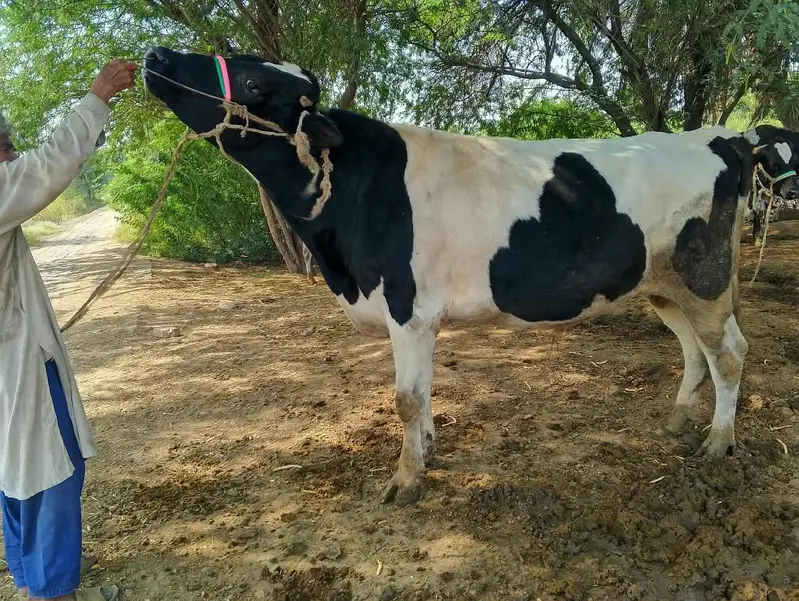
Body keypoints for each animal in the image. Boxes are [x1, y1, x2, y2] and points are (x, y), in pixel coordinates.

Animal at [142, 46, 799, 507]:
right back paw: (678, 421)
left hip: (705, 277)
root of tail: (721, 138)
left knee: (729, 352)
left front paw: (406, 480)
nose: (157, 56)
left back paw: (718, 442)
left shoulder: (407, 307)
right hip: (662, 283)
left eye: (255, 84)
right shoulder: (419, 316)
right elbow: (424, 392)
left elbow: (405, 398)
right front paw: (428, 450)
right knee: (695, 351)